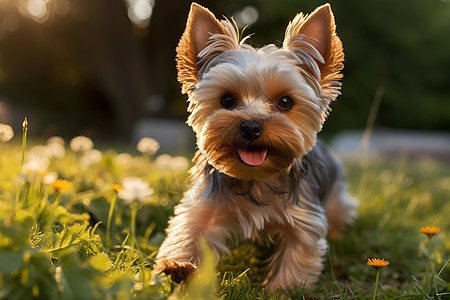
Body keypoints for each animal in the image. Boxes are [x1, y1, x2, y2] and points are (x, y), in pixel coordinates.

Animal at [155, 2, 358, 292]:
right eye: (227, 100)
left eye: (285, 101)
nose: (251, 126)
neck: (257, 179)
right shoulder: (205, 203)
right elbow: (189, 229)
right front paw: (180, 266)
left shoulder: (304, 216)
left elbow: (300, 250)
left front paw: (283, 290)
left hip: (336, 195)